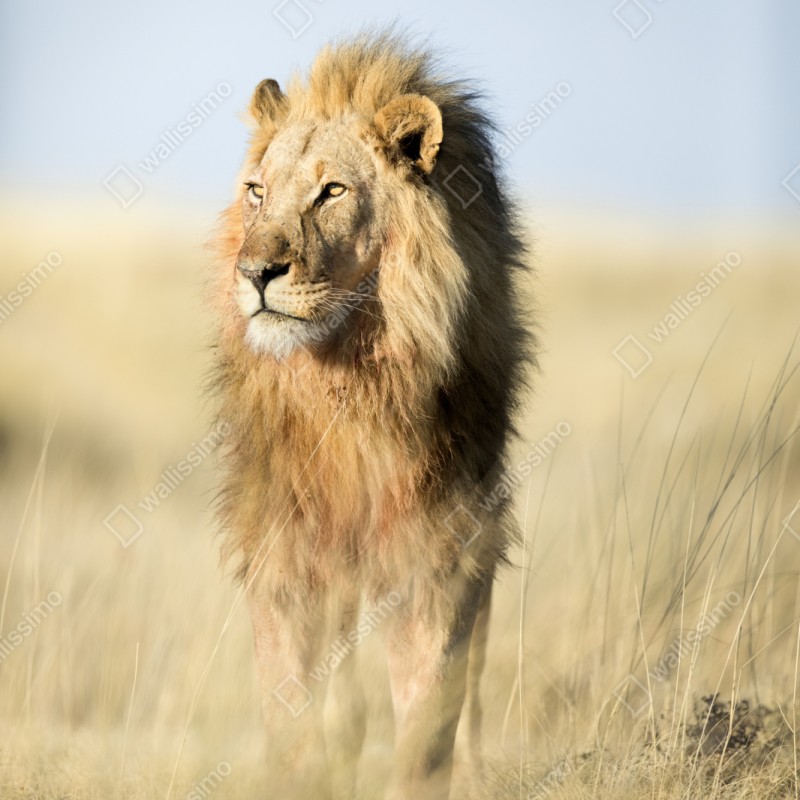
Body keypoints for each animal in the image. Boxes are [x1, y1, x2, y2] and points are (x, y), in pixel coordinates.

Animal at [210, 31, 532, 800]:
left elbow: (430, 720)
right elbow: (295, 716)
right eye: (257, 192)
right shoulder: (285, 553)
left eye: (332, 192)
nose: (254, 273)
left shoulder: (445, 549)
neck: (350, 384)